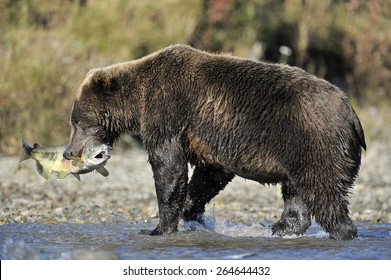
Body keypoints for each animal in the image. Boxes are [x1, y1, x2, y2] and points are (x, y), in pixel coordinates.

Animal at [64, 44, 368, 241]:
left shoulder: (167, 111)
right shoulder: (209, 139)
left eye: (78, 121)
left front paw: (158, 228)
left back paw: (343, 232)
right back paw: (279, 228)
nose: (68, 151)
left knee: (324, 192)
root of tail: (352, 114)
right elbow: (209, 174)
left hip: (313, 140)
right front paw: (190, 210)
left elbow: (168, 166)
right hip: (297, 153)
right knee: (297, 193)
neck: (137, 103)